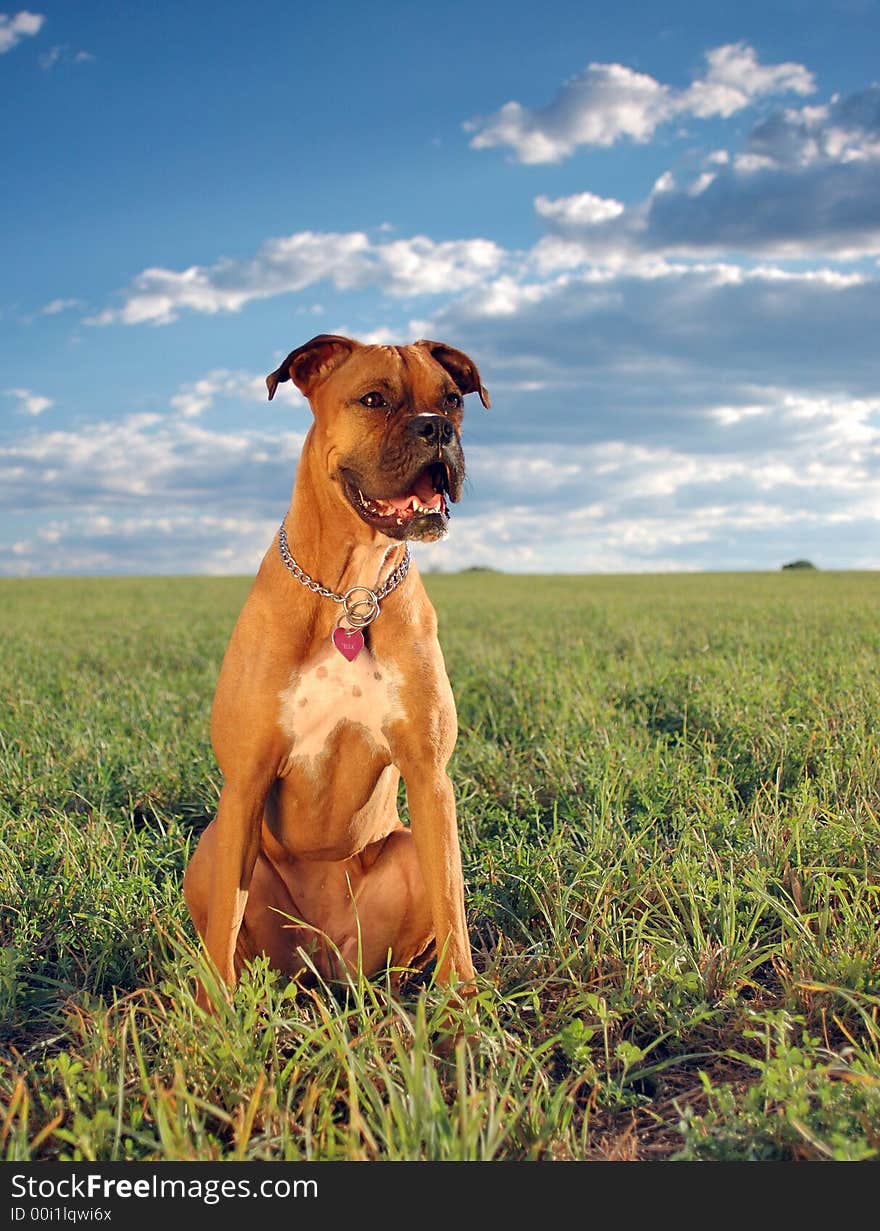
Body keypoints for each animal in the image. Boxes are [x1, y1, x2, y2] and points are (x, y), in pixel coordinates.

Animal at [184, 332, 489, 1004]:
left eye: (453, 400)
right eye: (373, 399)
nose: (436, 428)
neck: (351, 590)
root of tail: (321, 962)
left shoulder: (430, 775)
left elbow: (454, 906)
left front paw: (462, 1004)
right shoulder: (246, 780)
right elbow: (224, 926)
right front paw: (215, 1014)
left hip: (405, 854)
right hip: (214, 847)